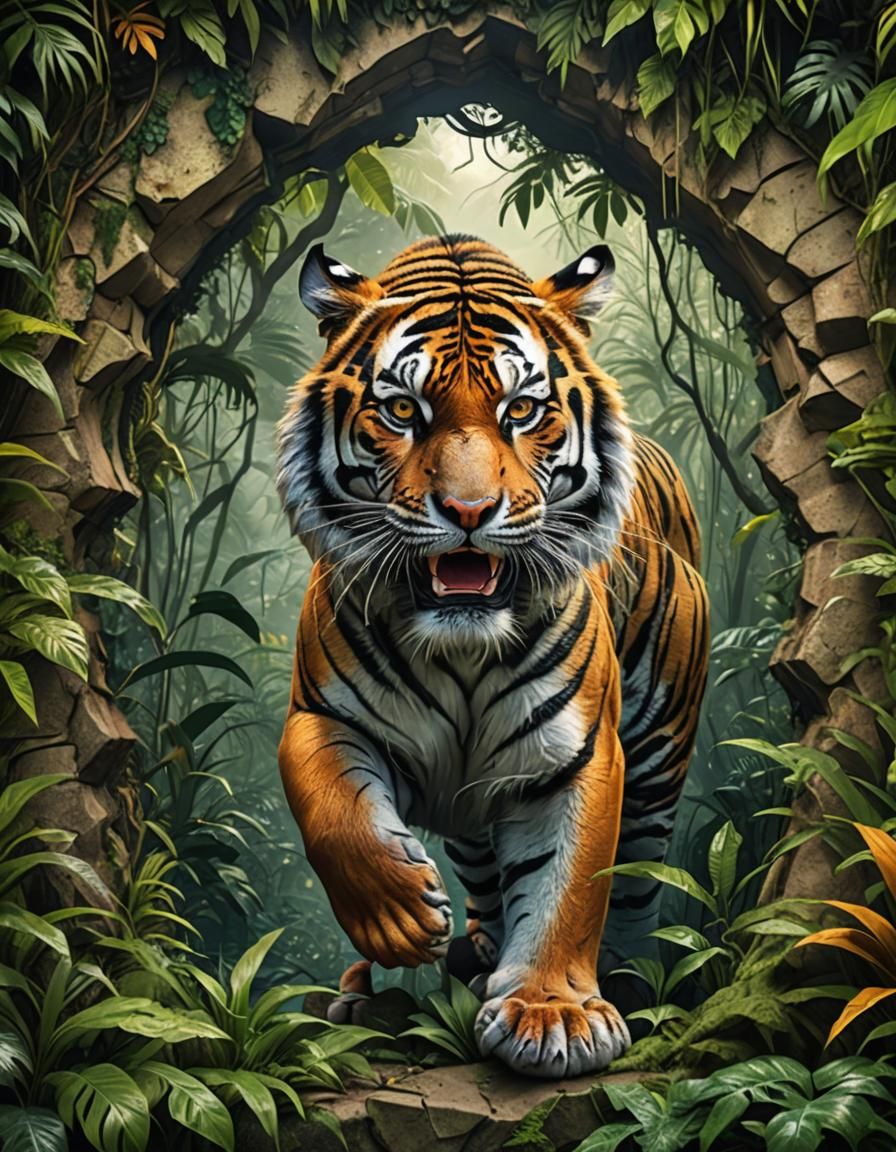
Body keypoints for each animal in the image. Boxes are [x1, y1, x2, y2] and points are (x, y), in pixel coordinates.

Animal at [276, 234, 709, 1079]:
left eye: (522, 411)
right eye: (402, 410)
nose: (470, 512)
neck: (462, 647)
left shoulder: (576, 754)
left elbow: (568, 885)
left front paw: (554, 1018)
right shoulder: (320, 715)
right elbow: (333, 812)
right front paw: (401, 919)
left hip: (659, 758)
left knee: (635, 882)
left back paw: (626, 978)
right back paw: (443, 965)